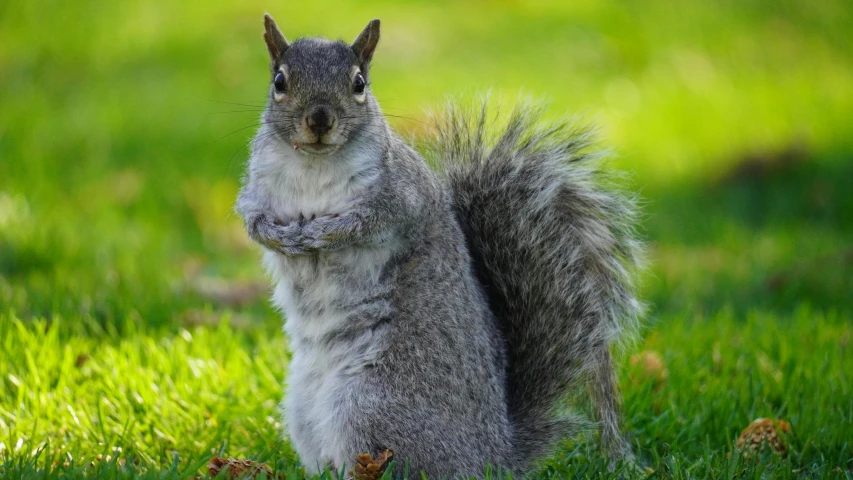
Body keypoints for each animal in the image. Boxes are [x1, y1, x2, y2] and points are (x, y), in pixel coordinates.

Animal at [236, 15, 644, 480]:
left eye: (359, 84)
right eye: (280, 81)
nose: (319, 120)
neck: (313, 166)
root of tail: (495, 456)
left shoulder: (402, 196)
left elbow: (366, 222)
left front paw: (325, 233)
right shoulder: (256, 188)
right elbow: (251, 219)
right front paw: (279, 236)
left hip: (372, 405)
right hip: (307, 411)